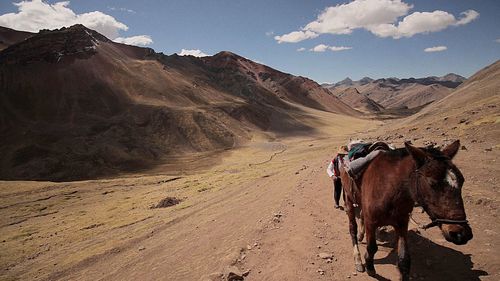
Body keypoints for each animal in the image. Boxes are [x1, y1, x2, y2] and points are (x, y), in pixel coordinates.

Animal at [340, 140, 472, 280]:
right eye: (432, 183)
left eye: (462, 181)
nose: (461, 234)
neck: (389, 188)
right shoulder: (371, 222)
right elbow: (372, 247)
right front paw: (369, 267)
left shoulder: (402, 223)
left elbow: (404, 259)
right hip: (348, 201)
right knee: (352, 229)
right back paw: (358, 259)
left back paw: (361, 236)